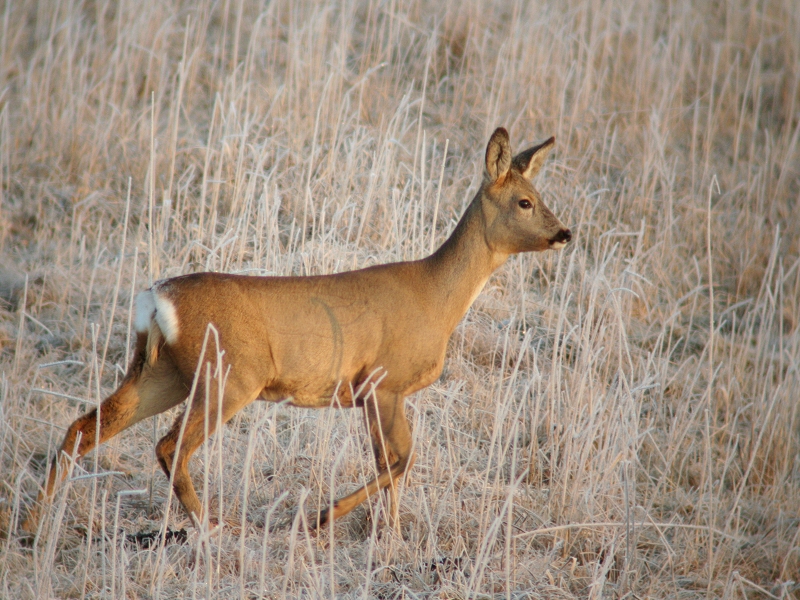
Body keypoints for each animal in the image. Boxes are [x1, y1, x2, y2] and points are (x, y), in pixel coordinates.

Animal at [21, 126, 572, 536]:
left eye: (540, 196)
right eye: (525, 202)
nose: (564, 232)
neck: (435, 297)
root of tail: (157, 299)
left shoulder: (377, 394)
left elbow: (394, 463)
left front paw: (387, 535)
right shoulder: (382, 382)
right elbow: (399, 461)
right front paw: (323, 517)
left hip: (163, 372)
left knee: (84, 427)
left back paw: (28, 525)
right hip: (230, 373)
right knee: (170, 445)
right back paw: (215, 528)